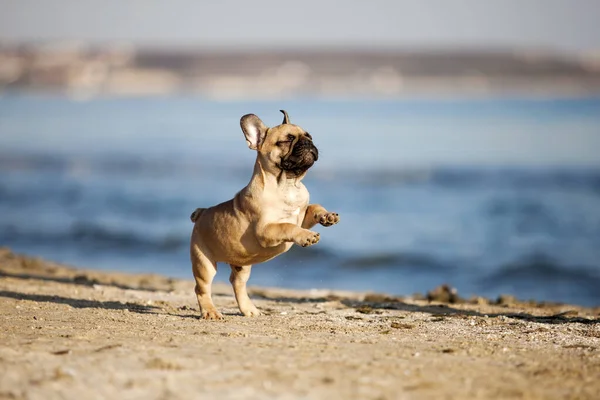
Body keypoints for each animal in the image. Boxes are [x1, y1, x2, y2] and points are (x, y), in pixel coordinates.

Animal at [189, 110, 338, 318]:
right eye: (287, 140)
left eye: (309, 136)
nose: (308, 143)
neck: (288, 184)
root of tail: (201, 213)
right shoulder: (265, 231)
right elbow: (287, 226)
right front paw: (306, 236)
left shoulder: (302, 217)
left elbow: (314, 207)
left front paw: (327, 216)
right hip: (204, 263)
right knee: (202, 288)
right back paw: (210, 312)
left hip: (242, 265)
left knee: (237, 283)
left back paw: (249, 309)